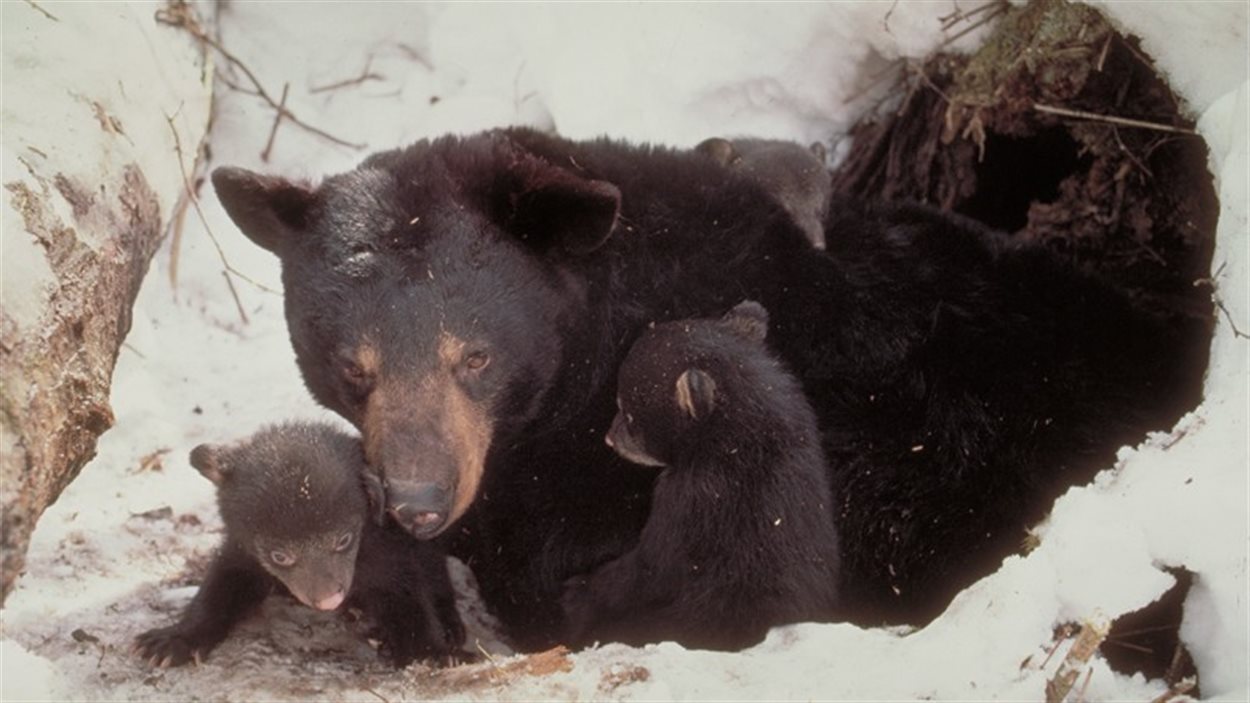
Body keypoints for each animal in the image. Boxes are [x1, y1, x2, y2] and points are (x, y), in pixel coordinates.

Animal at [133, 417, 465, 665]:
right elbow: (223, 581)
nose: (329, 599)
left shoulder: (387, 546)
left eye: (344, 539)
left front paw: (435, 654)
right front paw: (170, 641)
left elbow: (405, 592)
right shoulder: (244, 549)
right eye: (279, 555)